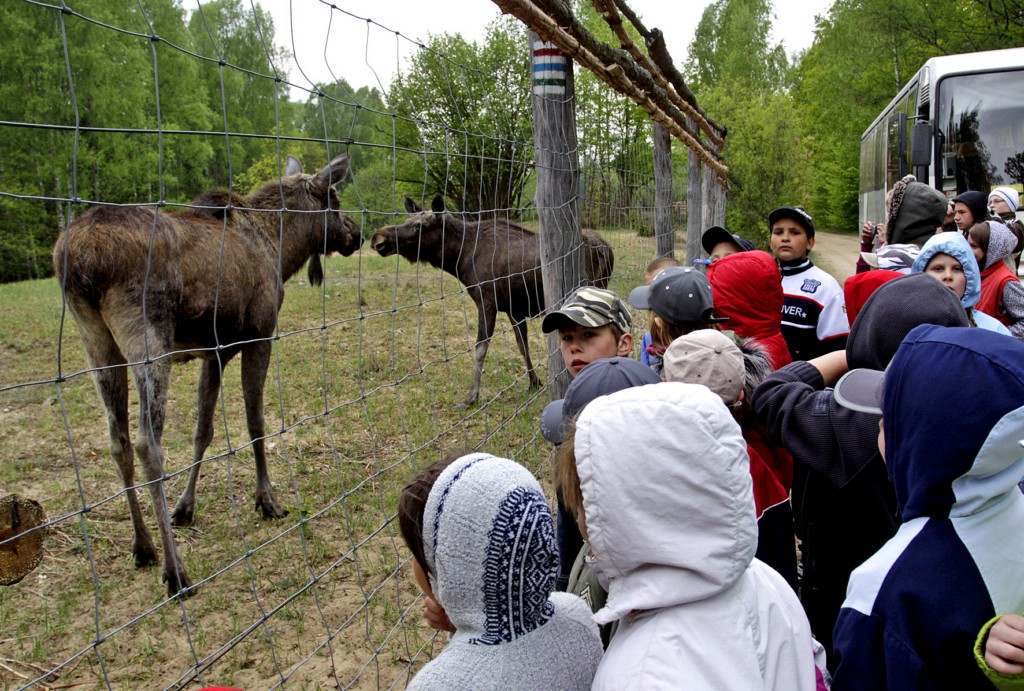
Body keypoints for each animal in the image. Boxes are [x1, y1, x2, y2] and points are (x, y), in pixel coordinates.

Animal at [52, 154, 364, 597]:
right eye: (334, 200)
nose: (357, 233)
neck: (282, 248)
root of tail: (78, 260)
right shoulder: (260, 334)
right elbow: (255, 422)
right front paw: (267, 500)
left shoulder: (214, 353)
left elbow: (204, 429)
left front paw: (185, 507)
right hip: (149, 338)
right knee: (148, 444)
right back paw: (175, 570)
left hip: (96, 343)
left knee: (118, 441)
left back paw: (143, 546)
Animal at [372, 194, 610, 407]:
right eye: (406, 220)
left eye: (420, 226)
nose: (379, 239)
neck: (458, 258)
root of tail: (605, 249)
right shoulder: (513, 310)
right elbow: (522, 345)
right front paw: (534, 382)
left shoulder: (486, 302)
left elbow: (480, 349)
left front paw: (471, 397)